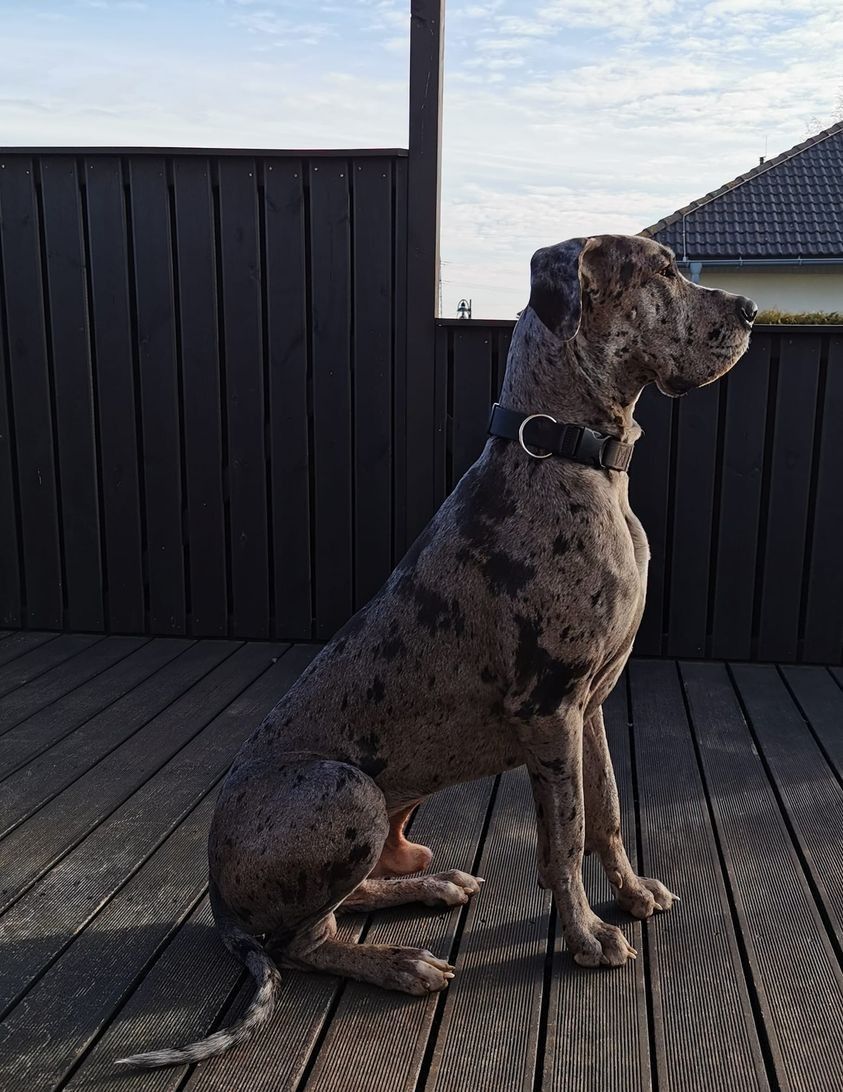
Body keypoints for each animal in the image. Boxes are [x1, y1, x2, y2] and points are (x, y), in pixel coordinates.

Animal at [118, 234, 755, 1068]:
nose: (749, 308)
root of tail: (220, 901)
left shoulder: (589, 706)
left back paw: (425, 887)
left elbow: (608, 810)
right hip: (345, 789)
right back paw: (398, 964)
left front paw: (630, 891)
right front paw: (586, 935)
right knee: (302, 942)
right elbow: (563, 837)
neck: (569, 454)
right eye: (663, 270)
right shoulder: (549, 710)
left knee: (346, 898)